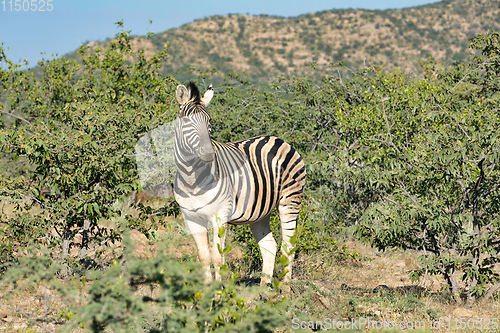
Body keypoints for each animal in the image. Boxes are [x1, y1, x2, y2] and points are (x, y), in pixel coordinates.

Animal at [174, 81, 304, 284]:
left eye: (209, 121)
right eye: (186, 121)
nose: (208, 153)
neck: (192, 179)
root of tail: (278, 139)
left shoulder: (220, 215)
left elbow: (217, 257)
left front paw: (219, 291)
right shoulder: (191, 218)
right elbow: (203, 256)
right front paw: (206, 290)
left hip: (290, 201)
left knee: (288, 246)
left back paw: (285, 287)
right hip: (260, 212)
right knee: (269, 246)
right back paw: (263, 288)